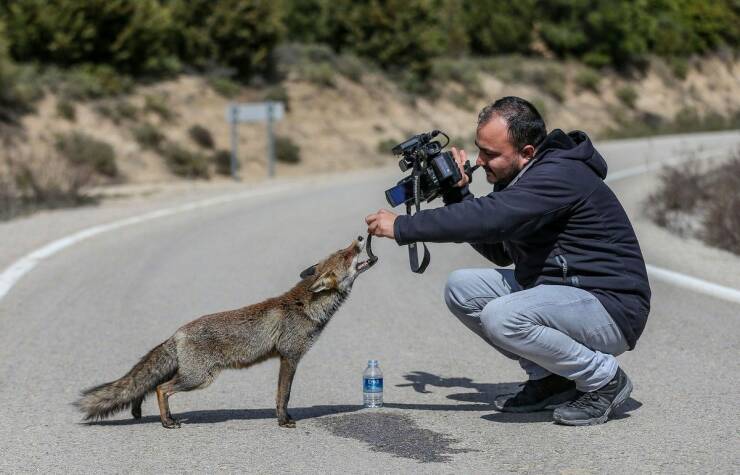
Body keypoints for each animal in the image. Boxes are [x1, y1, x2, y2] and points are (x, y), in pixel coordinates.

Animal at [75, 236, 376, 430]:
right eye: (347, 254)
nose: (361, 237)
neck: (306, 307)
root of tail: (177, 332)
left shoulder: (286, 358)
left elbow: (283, 395)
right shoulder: (290, 357)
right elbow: (284, 395)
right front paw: (283, 421)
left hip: (191, 375)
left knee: (151, 387)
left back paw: (151, 414)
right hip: (199, 378)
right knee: (161, 388)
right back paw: (167, 422)